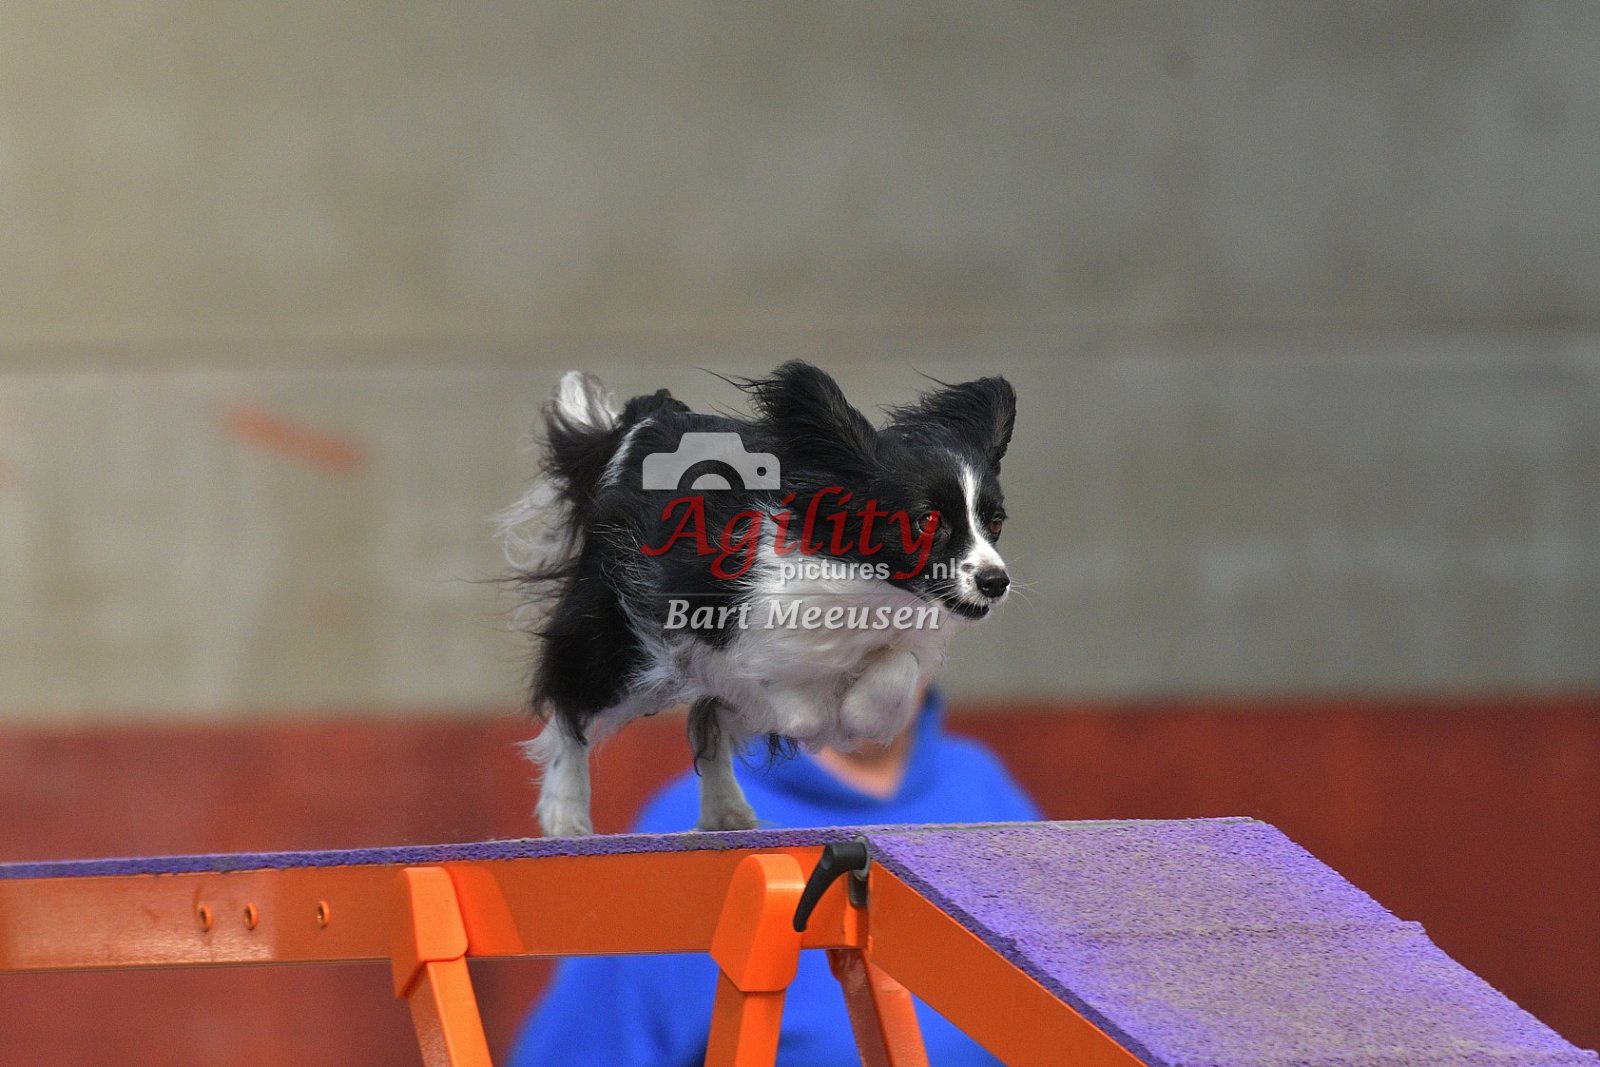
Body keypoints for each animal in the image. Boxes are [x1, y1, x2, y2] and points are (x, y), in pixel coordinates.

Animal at [498, 361, 1015, 836]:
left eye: (995, 523)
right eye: (927, 522)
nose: (996, 581)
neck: (864, 585)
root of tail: (643, 420)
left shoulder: (900, 637)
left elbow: (893, 673)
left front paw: (857, 716)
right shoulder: (720, 631)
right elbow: (794, 707)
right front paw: (823, 719)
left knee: (703, 721)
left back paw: (726, 811)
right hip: (617, 638)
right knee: (572, 703)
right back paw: (565, 812)